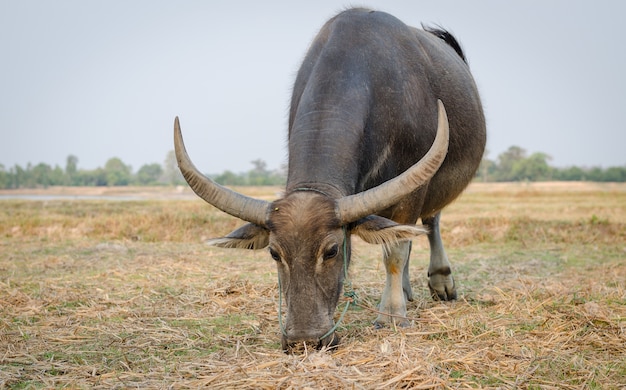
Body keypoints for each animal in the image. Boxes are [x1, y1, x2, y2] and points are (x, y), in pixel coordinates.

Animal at [173, 7, 486, 352]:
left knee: (429, 223)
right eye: (274, 253)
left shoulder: (411, 190)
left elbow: (395, 252)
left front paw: (392, 316)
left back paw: (440, 282)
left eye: (332, 250)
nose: (304, 340)